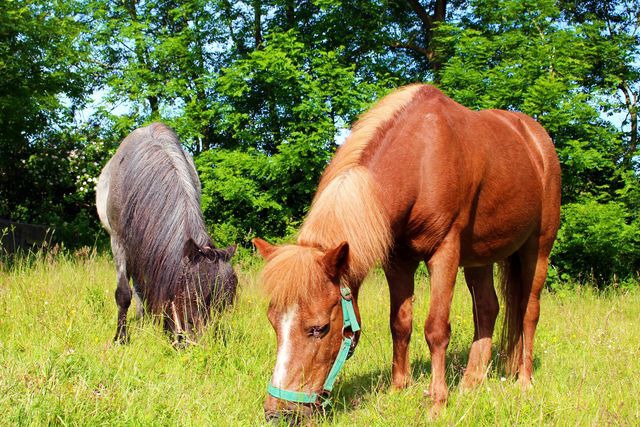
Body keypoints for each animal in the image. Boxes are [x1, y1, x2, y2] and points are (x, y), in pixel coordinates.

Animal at [255, 84, 560, 422]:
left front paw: (437, 403)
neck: (420, 158)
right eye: (273, 321)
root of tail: (536, 138)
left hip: (538, 249)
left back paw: (524, 383)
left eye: (319, 328)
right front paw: (398, 389)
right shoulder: (398, 261)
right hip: (479, 258)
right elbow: (400, 324)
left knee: (528, 312)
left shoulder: (444, 252)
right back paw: (471, 383)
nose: (278, 412)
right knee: (487, 309)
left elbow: (436, 329)